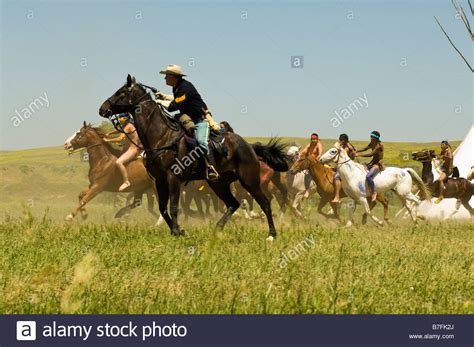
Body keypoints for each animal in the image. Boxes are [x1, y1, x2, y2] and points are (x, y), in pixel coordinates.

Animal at [99, 75, 288, 241]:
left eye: (121, 92)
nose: (102, 109)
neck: (162, 136)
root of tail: (249, 146)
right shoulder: (159, 181)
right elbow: (162, 208)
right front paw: (179, 231)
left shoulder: (173, 178)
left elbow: (173, 207)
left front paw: (177, 231)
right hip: (218, 183)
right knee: (233, 204)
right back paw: (217, 229)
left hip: (249, 181)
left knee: (265, 203)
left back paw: (271, 235)